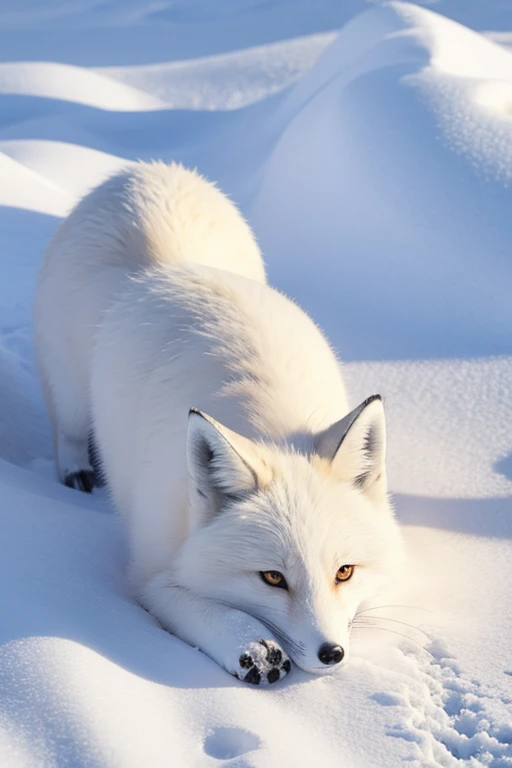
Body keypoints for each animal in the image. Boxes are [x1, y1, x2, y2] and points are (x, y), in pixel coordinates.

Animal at [34, 161, 404, 685]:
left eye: (344, 572)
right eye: (272, 578)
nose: (331, 653)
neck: (268, 419)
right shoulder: (150, 570)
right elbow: (196, 604)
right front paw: (250, 642)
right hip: (68, 393)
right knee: (65, 431)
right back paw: (75, 471)